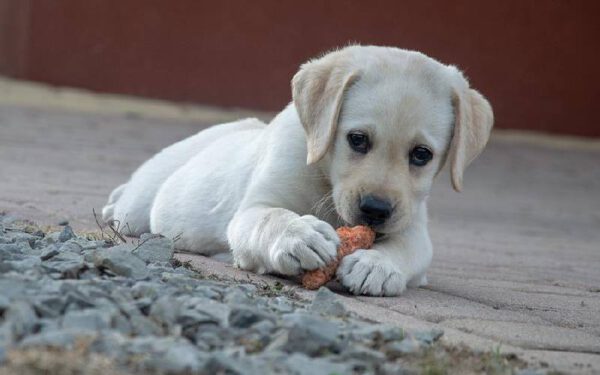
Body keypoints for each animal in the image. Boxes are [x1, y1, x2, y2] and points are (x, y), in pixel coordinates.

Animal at [102, 44, 492, 296]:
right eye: (357, 139)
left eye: (422, 155)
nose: (375, 210)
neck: (325, 180)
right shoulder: (252, 209)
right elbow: (270, 217)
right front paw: (299, 235)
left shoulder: (413, 225)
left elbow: (407, 248)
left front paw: (377, 264)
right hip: (139, 205)